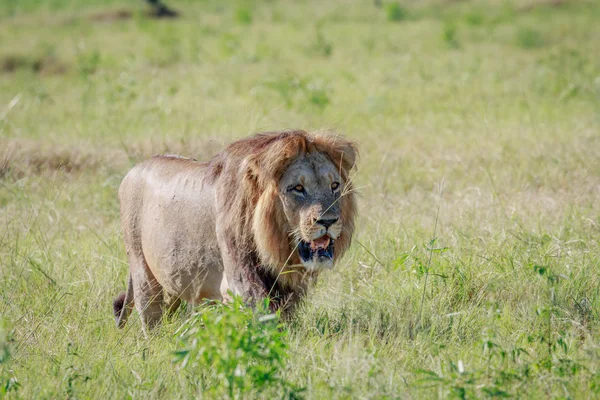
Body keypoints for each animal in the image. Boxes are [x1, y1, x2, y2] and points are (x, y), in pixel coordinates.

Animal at [112, 130, 356, 332]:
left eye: (334, 186)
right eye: (298, 188)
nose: (328, 221)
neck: (274, 245)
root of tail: (133, 169)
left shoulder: (282, 287)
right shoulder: (241, 280)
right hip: (141, 268)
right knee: (150, 316)